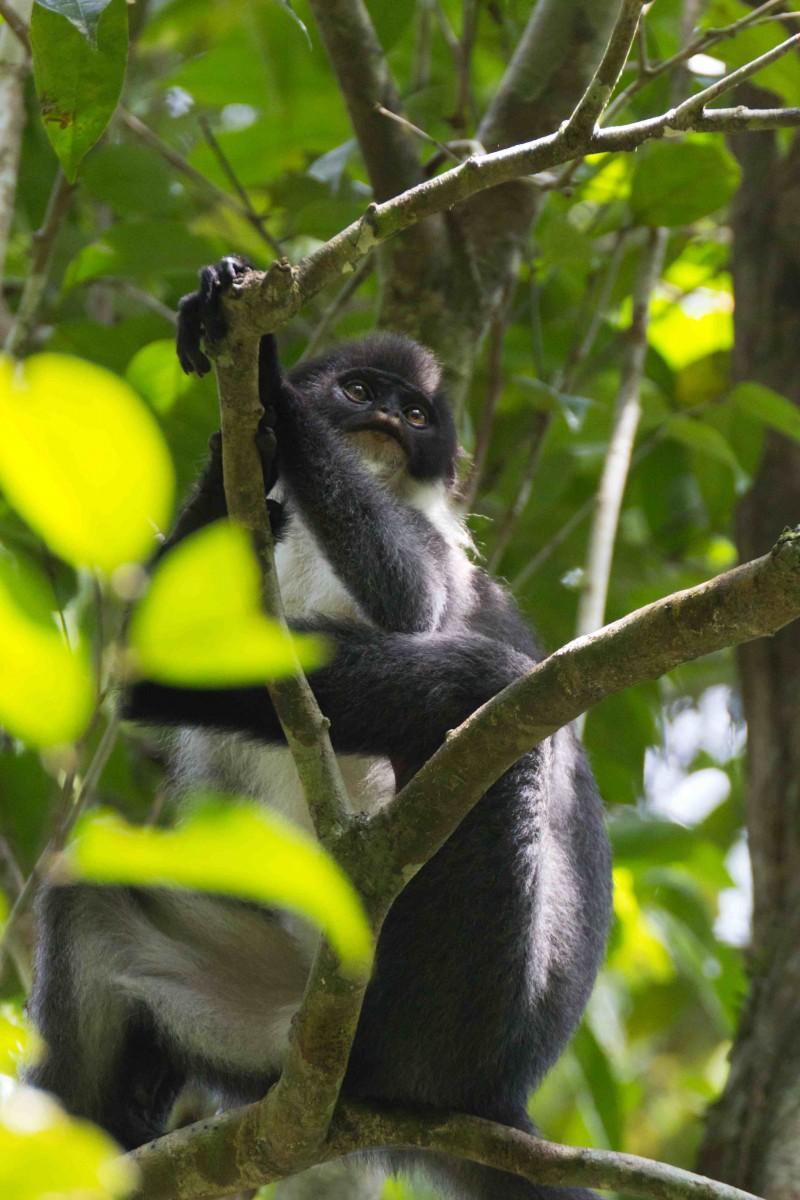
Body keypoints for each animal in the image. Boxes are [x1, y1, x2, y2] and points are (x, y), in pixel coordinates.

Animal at [28, 256, 612, 1200]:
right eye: (361, 391)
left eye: (416, 415)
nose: (387, 421)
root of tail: (500, 1098)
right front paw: (238, 427)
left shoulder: (441, 553)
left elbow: (416, 605)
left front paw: (264, 381)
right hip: (273, 1019)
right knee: (88, 889)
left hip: (453, 1009)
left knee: (487, 688)